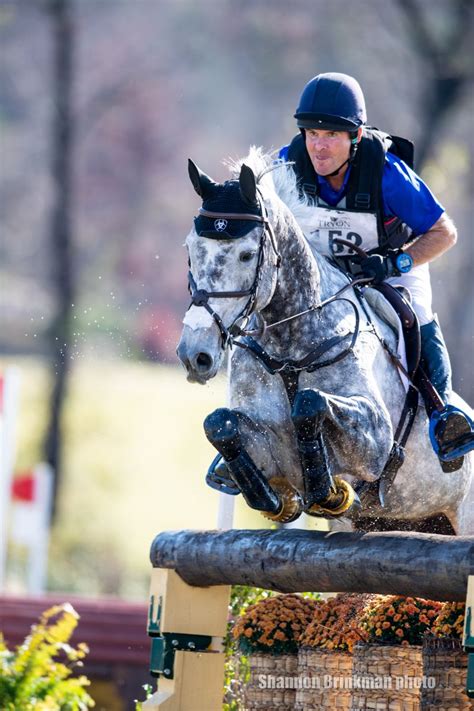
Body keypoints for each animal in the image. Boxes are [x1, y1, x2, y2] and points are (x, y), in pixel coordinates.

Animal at [176, 147, 472, 536]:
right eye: (190, 250)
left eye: (246, 254)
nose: (195, 355)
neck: (288, 348)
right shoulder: (266, 444)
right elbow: (220, 423)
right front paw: (276, 500)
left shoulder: (376, 440)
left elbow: (310, 401)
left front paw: (326, 492)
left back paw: (452, 428)